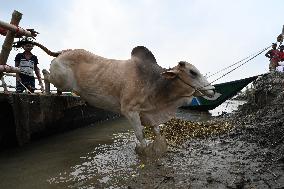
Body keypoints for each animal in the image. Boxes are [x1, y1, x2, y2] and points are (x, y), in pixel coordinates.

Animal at [32, 42, 215, 155]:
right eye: (193, 72)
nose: (212, 90)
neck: (155, 82)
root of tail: (63, 51)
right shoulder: (129, 110)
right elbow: (140, 134)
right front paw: (144, 152)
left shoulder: (149, 113)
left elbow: (157, 131)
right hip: (62, 80)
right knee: (45, 73)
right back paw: (46, 92)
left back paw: (55, 93)